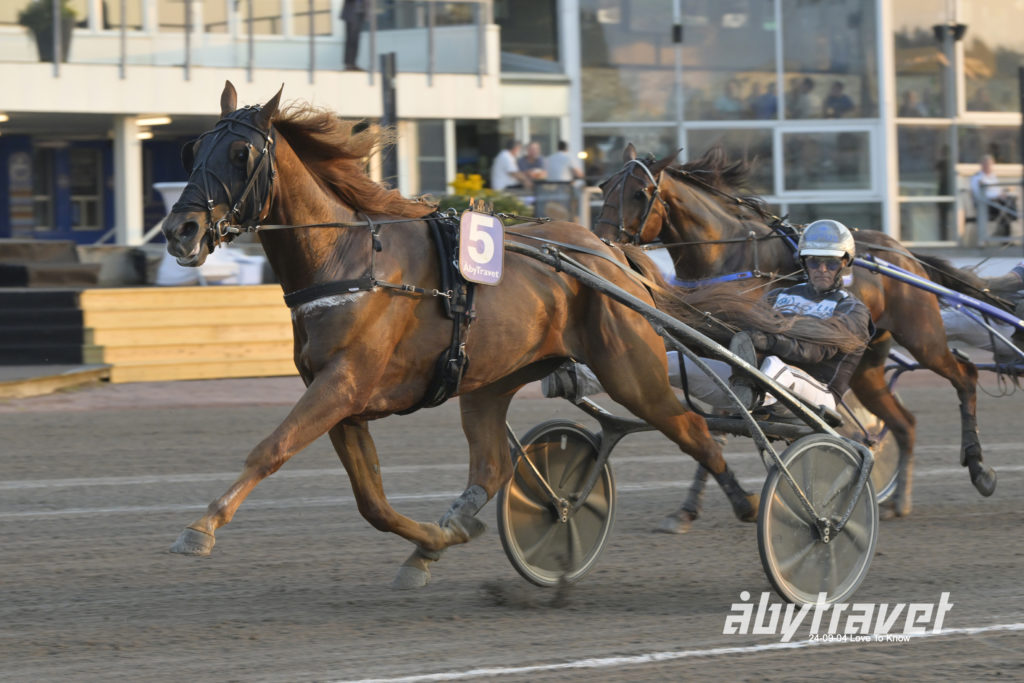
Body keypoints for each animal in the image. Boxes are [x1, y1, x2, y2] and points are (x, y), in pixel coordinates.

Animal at [160, 82, 795, 589]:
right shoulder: (341, 400)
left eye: (241, 152)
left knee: (695, 429)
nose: (180, 229)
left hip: (632, 371)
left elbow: (270, 449)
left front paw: (201, 526)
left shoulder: (342, 385)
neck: (349, 259)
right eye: (194, 149)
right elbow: (371, 502)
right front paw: (433, 543)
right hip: (490, 382)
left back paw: (763, 507)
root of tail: (609, 253)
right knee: (491, 468)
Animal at [593, 144, 998, 522]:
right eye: (604, 185)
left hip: (923, 337)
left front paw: (702, 504)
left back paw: (978, 468)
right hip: (868, 366)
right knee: (904, 423)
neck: (727, 256)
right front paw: (691, 506)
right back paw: (897, 500)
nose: (600, 242)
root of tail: (905, 254)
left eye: (640, 193)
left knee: (965, 375)